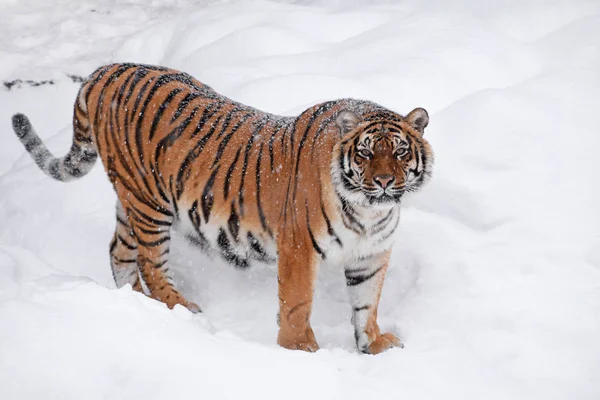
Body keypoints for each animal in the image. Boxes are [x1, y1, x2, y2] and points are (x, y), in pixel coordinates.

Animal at [11, 62, 434, 354]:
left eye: (399, 152)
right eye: (365, 154)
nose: (384, 181)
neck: (369, 212)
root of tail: (107, 69)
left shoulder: (372, 254)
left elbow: (367, 303)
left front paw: (373, 344)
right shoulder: (299, 247)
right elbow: (297, 302)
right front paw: (299, 349)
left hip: (130, 200)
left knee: (119, 251)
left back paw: (134, 303)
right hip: (150, 203)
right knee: (151, 262)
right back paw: (180, 309)